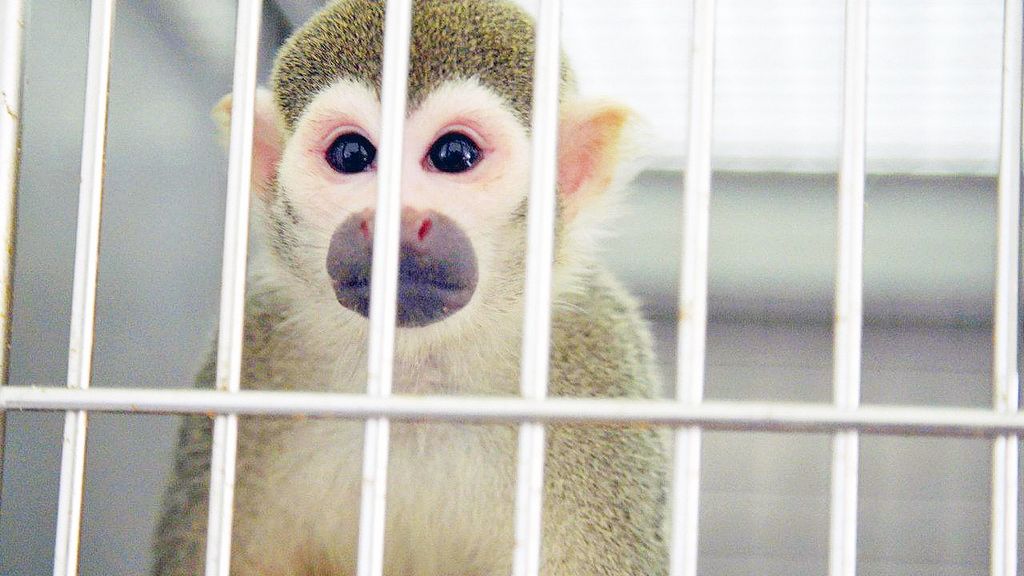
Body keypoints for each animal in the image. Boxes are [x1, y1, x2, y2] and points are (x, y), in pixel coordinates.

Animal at [153, 1, 668, 574]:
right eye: (352, 155)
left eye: (454, 155)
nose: (393, 221)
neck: (413, 374)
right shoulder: (255, 348)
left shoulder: (597, 369)